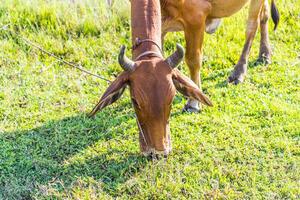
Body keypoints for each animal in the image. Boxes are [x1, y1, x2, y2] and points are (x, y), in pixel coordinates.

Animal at [89, 0, 213, 156]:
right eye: (135, 101)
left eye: (172, 98)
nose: (158, 153)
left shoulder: (197, 16)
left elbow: (193, 60)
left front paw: (193, 104)